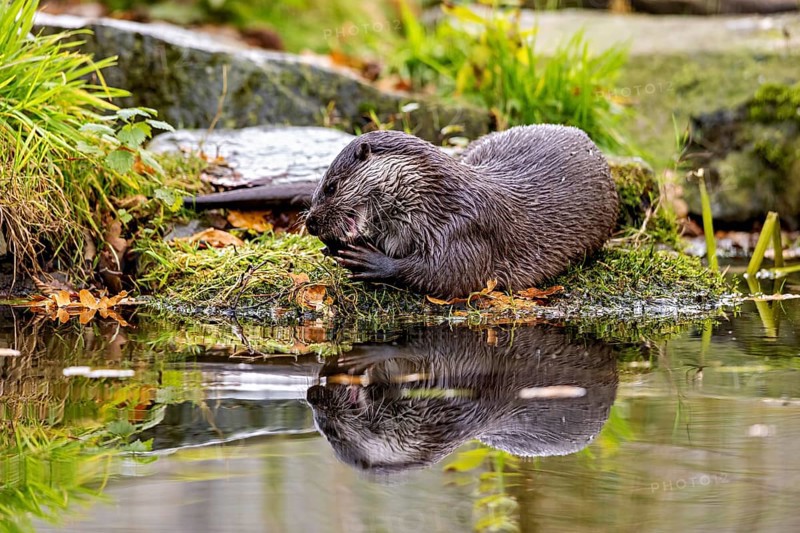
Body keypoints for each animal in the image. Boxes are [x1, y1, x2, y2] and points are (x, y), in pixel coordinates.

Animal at [304, 125, 619, 299]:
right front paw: (332, 249)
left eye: (331, 187)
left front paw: (373, 261)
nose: (310, 223)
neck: (434, 199)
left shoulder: (465, 225)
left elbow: (451, 275)